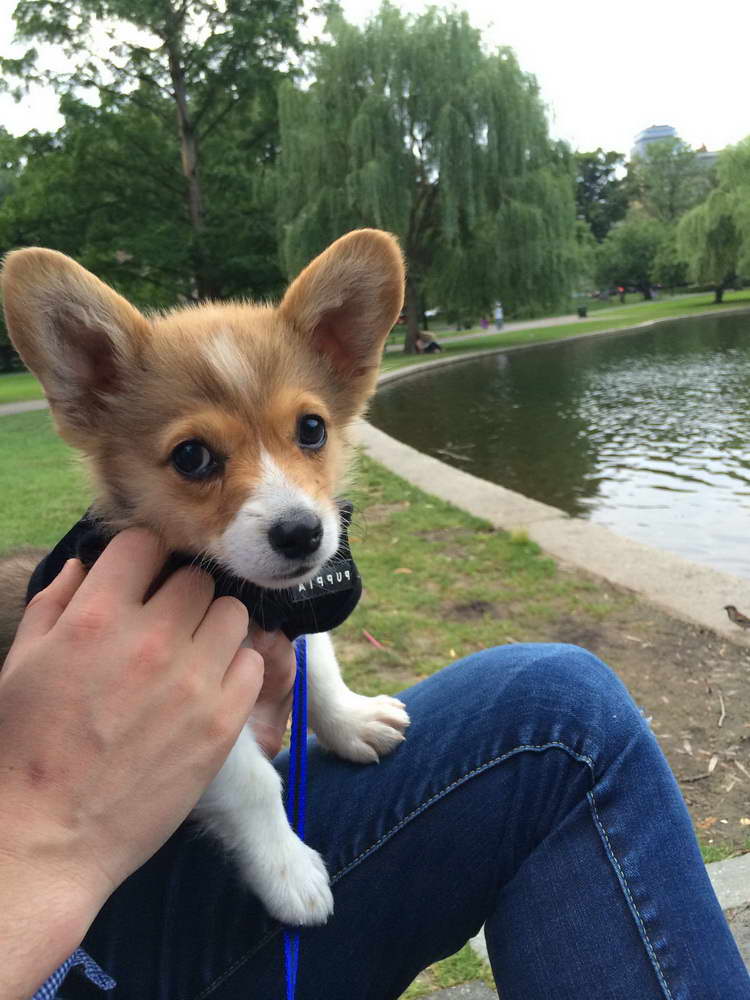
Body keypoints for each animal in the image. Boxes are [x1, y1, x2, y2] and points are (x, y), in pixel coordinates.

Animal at [0, 230, 412, 924]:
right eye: (191, 457)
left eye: (312, 429)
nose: (302, 534)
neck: (248, 600)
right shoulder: (196, 712)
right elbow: (253, 782)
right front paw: (290, 872)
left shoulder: (296, 617)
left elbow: (320, 669)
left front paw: (353, 721)